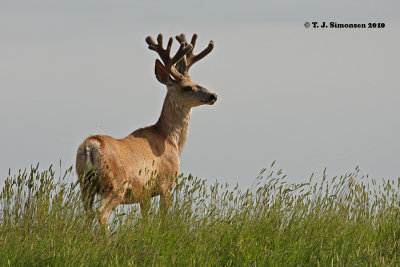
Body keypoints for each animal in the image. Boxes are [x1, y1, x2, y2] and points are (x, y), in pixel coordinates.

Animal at [76, 32, 217, 227]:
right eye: (187, 87)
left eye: (196, 81)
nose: (213, 95)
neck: (169, 140)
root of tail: (91, 145)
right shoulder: (166, 183)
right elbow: (164, 217)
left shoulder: (144, 193)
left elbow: (146, 220)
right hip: (116, 183)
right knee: (101, 213)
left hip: (85, 183)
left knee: (88, 214)